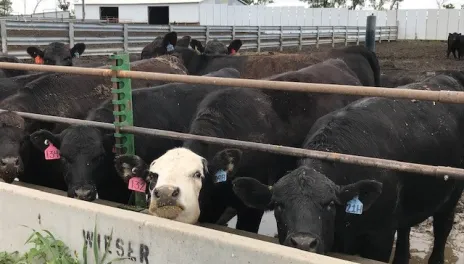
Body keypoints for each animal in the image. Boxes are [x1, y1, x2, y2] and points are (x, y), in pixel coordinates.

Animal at [232, 71, 464, 262]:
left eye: (329, 204)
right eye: (279, 205)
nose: (303, 243)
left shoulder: (380, 236)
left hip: (451, 196)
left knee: (442, 228)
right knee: (405, 230)